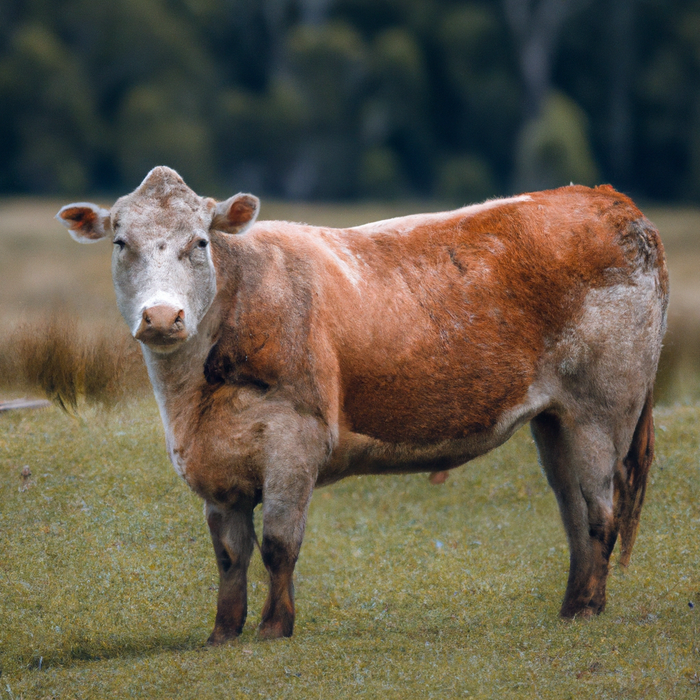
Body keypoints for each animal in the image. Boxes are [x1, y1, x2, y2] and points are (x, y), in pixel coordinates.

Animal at [54, 167, 668, 644]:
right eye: (120, 243)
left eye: (200, 242)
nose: (162, 316)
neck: (190, 402)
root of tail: (608, 199)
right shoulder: (214, 468)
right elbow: (229, 555)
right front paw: (223, 634)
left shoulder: (295, 443)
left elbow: (278, 544)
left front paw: (274, 628)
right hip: (555, 420)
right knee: (573, 511)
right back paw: (572, 606)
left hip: (602, 411)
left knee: (600, 511)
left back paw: (588, 608)